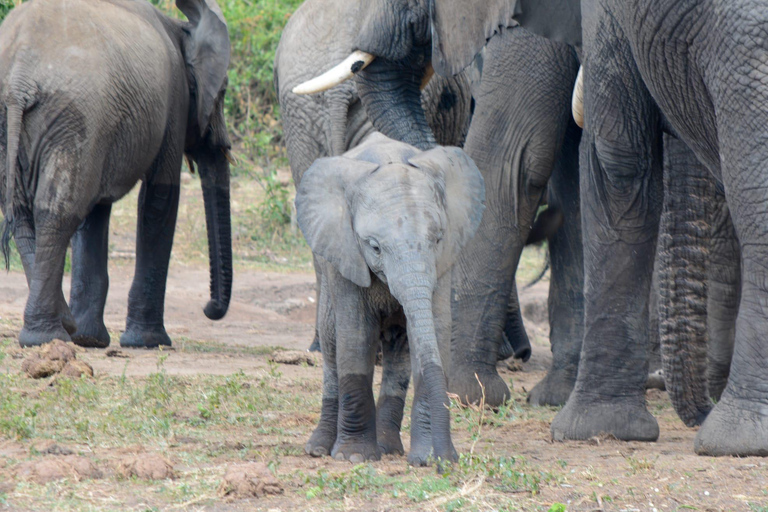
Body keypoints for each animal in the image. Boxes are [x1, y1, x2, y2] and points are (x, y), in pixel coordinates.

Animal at [0, 0, 232, 348]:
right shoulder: (174, 99)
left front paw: (89, 339)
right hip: (75, 116)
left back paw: (56, 330)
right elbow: (160, 198)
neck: (178, 26)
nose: (209, 309)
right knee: (58, 211)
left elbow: (95, 214)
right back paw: (48, 336)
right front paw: (147, 342)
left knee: (26, 215)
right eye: (224, 91)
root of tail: (19, 80)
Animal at [296, 133, 484, 468]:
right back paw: (319, 448)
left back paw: (388, 448)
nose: (449, 460)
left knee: (400, 354)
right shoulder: (347, 253)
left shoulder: (443, 262)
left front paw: (424, 460)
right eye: (374, 247)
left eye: (438, 239)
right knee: (331, 344)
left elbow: (435, 330)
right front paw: (354, 457)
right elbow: (356, 337)